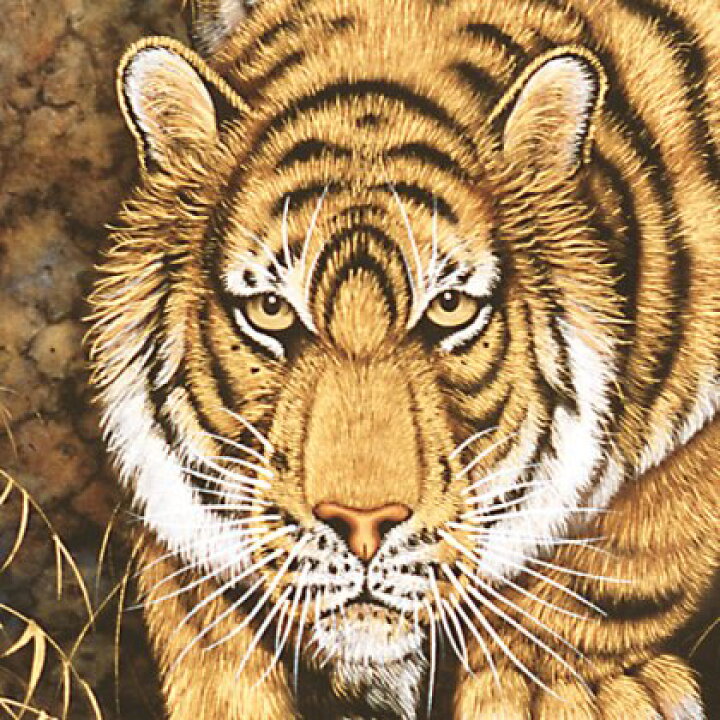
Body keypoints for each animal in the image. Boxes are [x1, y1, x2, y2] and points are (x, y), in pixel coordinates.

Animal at [87, 0, 720, 718]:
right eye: (271, 311)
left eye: (449, 307)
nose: (363, 526)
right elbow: (210, 638)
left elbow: (648, 527)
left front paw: (556, 687)